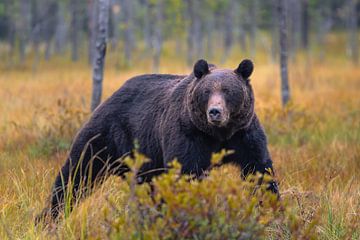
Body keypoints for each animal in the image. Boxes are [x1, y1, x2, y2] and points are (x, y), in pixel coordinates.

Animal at [38, 59, 278, 220]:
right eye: (207, 91)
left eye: (228, 91)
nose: (215, 112)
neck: (218, 134)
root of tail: (110, 96)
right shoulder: (188, 135)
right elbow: (186, 174)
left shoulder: (244, 134)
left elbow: (259, 169)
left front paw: (270, 206)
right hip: (104, 135)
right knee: (78, 173)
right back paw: (49, 216)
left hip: (144, 159)